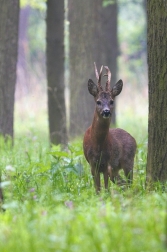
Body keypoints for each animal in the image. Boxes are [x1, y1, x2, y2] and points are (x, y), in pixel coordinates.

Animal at [83, 63, 136, 193]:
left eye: (112, 101)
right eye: (98, 101)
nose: (106, 111)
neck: (97, 145)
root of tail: (134, 139)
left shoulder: (107, 162)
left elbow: (106, 187)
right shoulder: (92, 164)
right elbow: (97, 188)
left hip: (128, 161)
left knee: (129, 182)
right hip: (116, 169)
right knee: (123, 183)